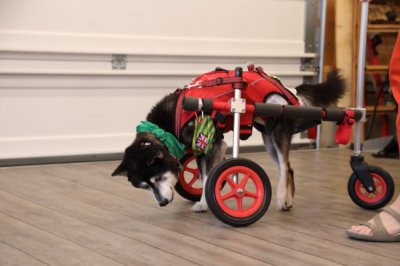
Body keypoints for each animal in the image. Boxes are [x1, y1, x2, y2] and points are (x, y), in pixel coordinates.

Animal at [111, 68, 344, 212]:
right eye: (144, 186)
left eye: (158, 178)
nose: (162, 203)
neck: (166, 128)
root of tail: (288, 90)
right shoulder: (206, 147)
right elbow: (204, 176)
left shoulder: (210, 144)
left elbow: (207, 178)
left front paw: (204, 203)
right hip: (268, 137)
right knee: (289, 168)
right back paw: (289, 199)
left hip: (277, 135)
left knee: (285, 168)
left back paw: (281, 197)